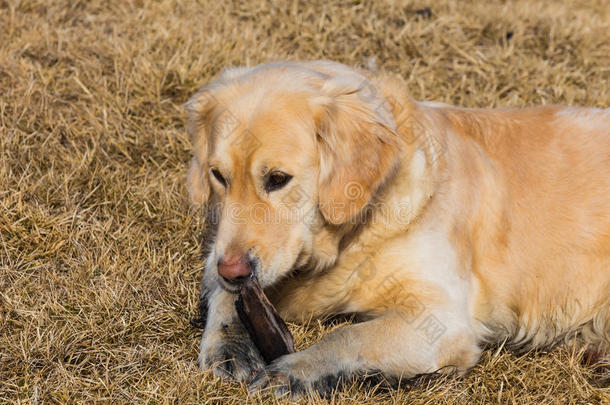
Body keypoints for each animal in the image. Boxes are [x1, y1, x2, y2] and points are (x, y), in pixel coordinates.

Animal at [186, 60, 608, 394]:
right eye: (219, 176)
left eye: (277, 179)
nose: (235, 270)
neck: (354, 234)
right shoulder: (222, 252)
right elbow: (221, 288)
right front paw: (228, 344)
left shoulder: (440, 317)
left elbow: (348, 334)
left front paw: (294, 371)